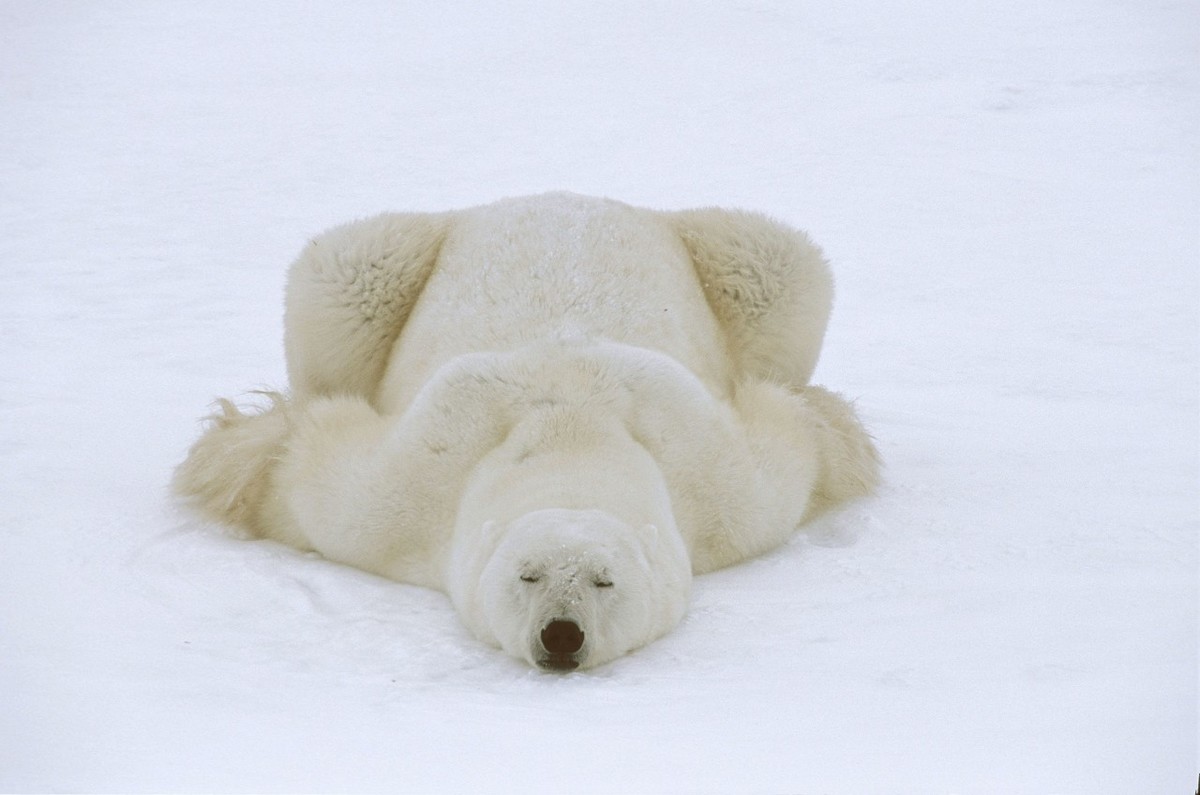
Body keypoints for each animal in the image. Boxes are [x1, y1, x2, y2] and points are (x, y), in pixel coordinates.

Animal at [171, 193, 883, 672]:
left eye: (604, 580)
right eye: (528, 576)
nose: (562, 635)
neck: (572, 436)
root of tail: (558, 196)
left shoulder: (720, 489)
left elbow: (794, 444)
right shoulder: (405, 492)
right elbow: (308, 469)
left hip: (722, 257)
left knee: (777, 266)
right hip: (389, 262)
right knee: (343, 282)